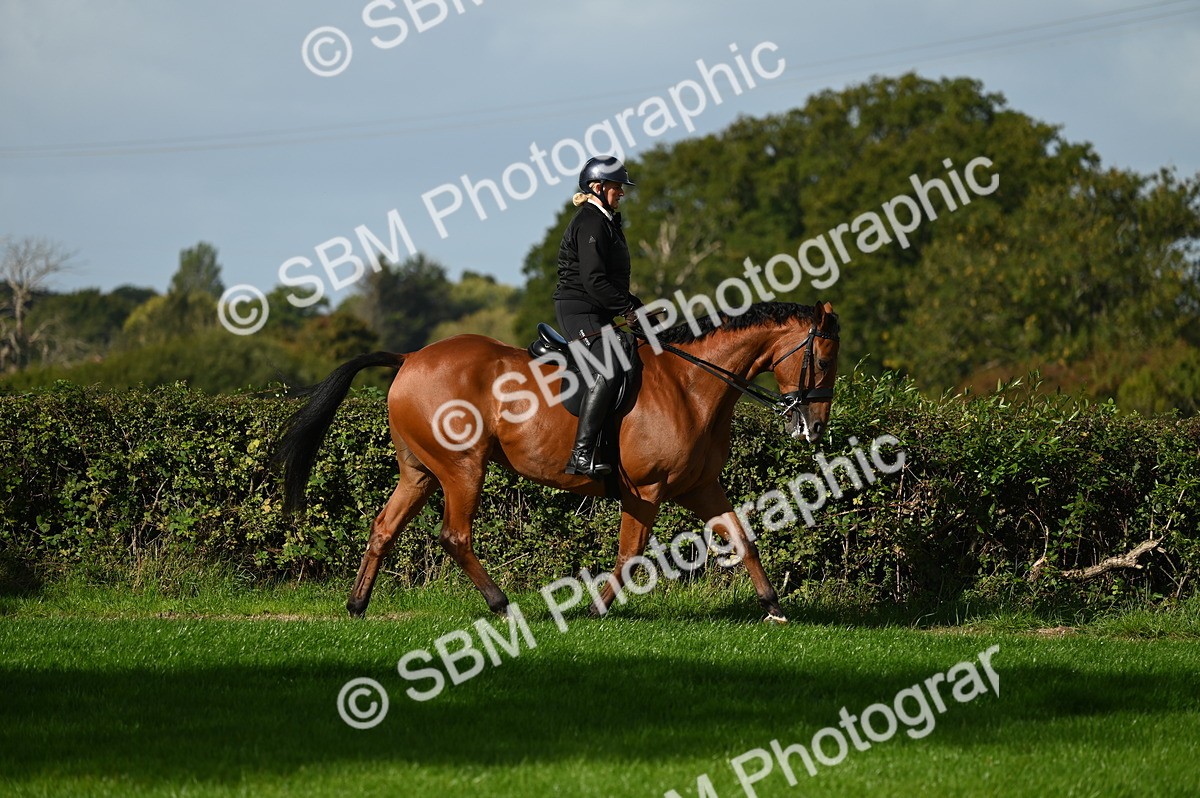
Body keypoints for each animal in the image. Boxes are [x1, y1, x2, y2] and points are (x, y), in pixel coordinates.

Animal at [276, 300, 840, 623]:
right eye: (824, 357)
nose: (814, 428)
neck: (689, 384)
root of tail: (410, 358)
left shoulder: (699, 486)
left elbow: (742, 536)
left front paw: (773, 607)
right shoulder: (647, 490)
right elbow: (630, 552)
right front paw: (597, 608)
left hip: (420, 473)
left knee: (383, 527)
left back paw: (357, 604)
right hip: (462, 469)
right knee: (454, 536)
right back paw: (501, 604)